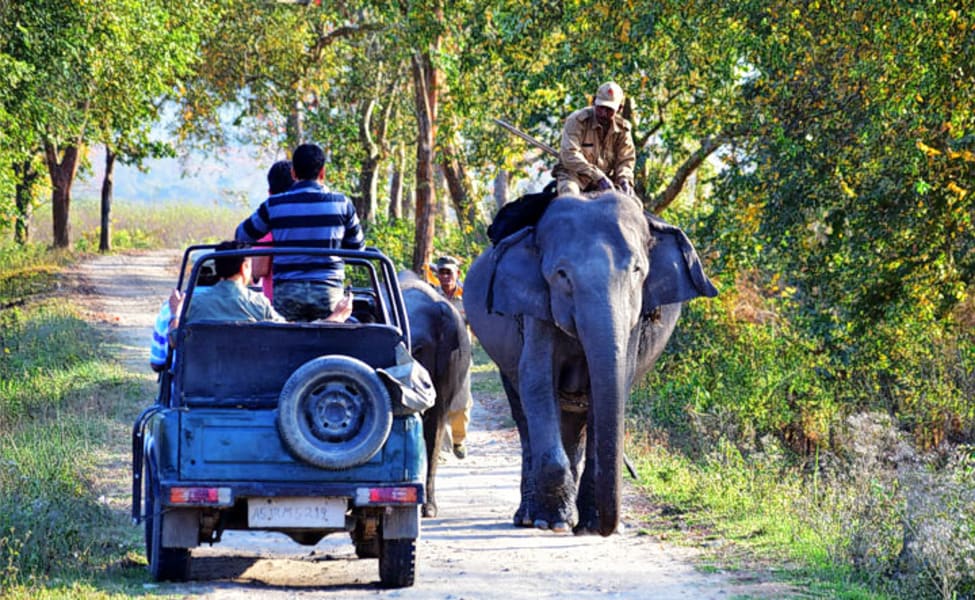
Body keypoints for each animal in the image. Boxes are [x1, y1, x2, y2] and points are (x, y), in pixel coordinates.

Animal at [463, 191, 717, 536]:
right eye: (561, 274)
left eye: (637, 270)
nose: (610, 527)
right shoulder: (535, 306)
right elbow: (536, 380)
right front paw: (554, 523)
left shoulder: (636, 315)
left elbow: (616, 383)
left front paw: (591, 525)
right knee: (524, 415)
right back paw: (531, 517)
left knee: (574, 424)